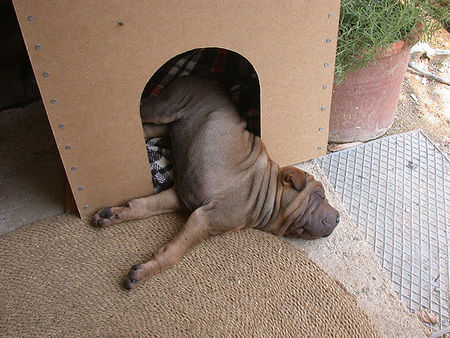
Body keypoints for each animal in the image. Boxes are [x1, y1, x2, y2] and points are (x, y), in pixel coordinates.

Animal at [93, 76, 340, 288]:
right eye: (319, 195)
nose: (337, 218)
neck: (265, 192)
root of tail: (205, 77)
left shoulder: (178, 197)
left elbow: (142, 206)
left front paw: (115, 214)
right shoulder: (204, 219)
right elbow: (173, 252)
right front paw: (147, 270)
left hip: (164, 126)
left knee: (145, 129)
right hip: (164, 109)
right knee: (141, 109)